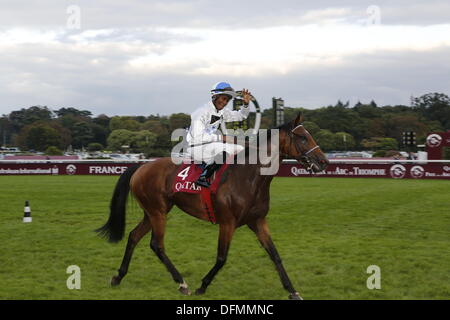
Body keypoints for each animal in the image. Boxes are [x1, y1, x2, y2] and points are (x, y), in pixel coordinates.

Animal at [96, 113, 326, 300]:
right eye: (303, 137)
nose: (323, 161)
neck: (250, 177)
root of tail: (141, 166)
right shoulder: (227, 222)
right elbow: (222, 257)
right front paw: (203, 286)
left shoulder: (258, 221)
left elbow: (275, 255)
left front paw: (292, 291)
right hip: (158, 212)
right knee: (157, 244)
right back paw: (182, 283)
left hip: (152, 212)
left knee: (134, 236)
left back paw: (118, 276)